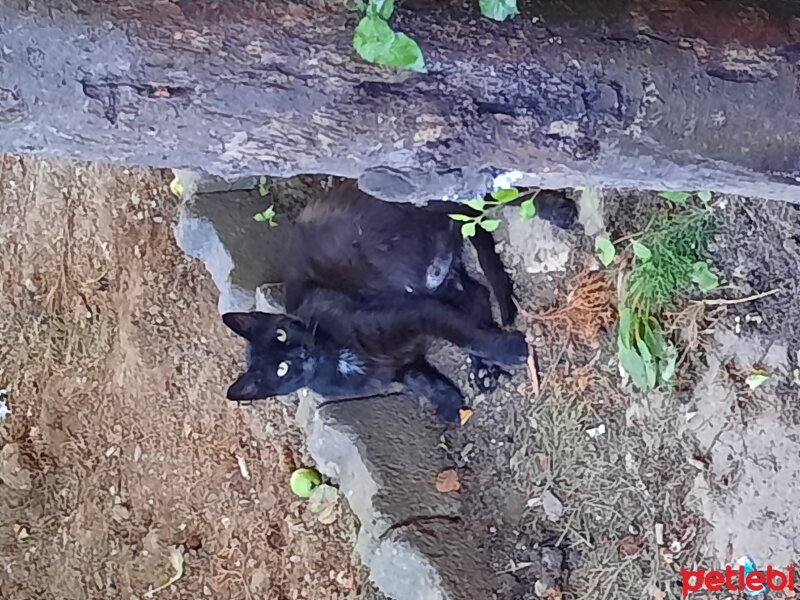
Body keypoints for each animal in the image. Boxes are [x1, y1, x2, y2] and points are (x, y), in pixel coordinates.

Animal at [223, 180, 576, 420]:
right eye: (281, 370)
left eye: (282, 334)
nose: (302, 352)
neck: (333, 357)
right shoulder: (397, 363)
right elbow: (419, 378)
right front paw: (448, 403)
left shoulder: (410, 311)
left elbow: (462, 334)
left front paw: (510, 350)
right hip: (444, 281)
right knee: (477, 295)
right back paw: (483, 370)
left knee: (504, 192)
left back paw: (557, 210)